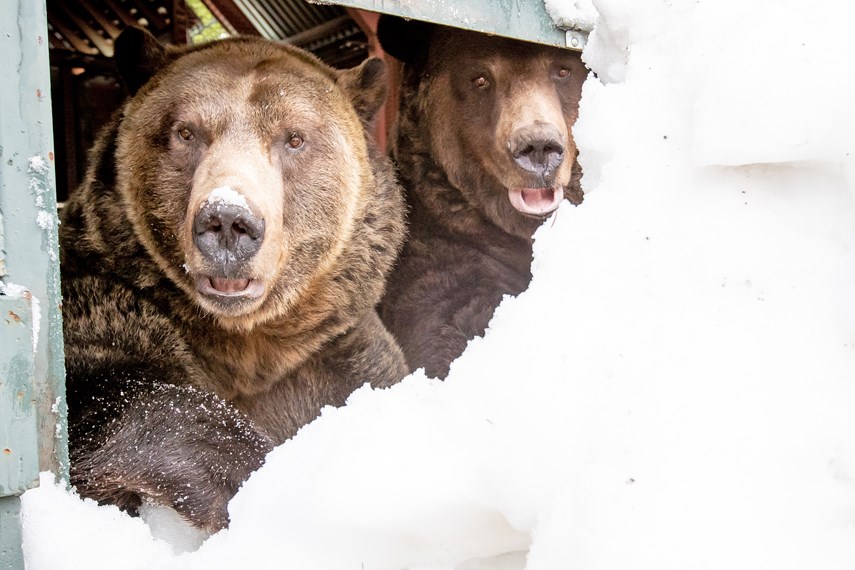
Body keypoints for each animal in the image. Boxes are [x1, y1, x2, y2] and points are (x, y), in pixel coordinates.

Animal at [60, 26, 408, 532]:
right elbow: (112, 394)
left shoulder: (336, 350)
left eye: (294, 138)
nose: (227, 220)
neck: (246, 342)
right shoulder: (104, 302)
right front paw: (257, 480)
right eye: (186, 131)